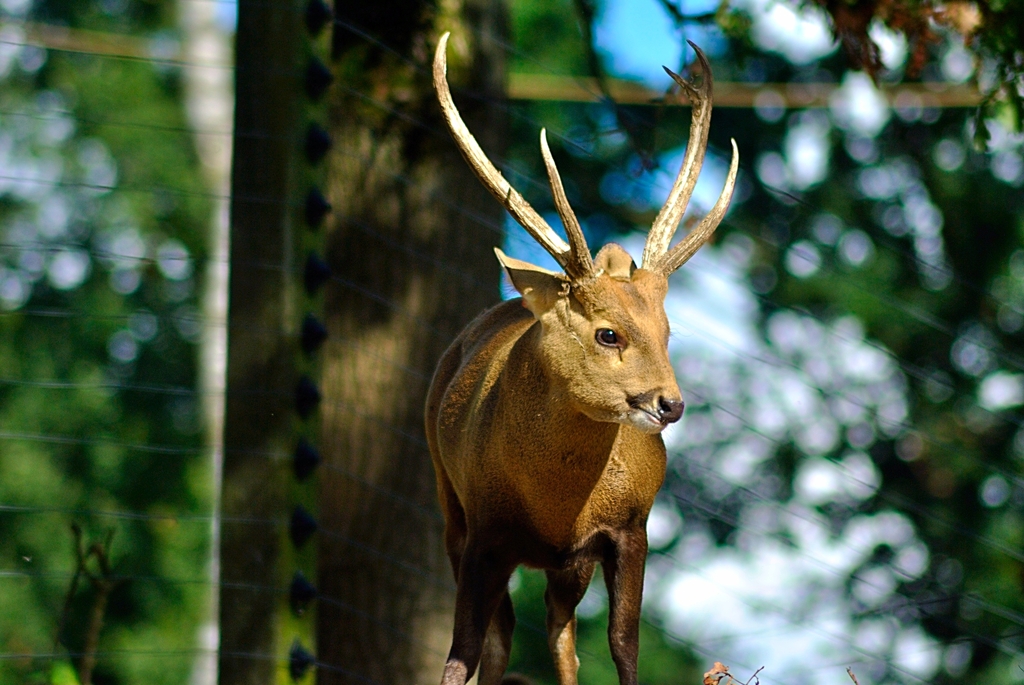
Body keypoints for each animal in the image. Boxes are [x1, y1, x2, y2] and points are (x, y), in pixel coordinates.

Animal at [425, 32, 739, 685]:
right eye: (608, 334)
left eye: (668, 331)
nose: (670, 404)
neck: (556, 504)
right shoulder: (484, 529)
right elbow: (460, 653)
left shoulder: (630, 528)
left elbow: (621, 646)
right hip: (448, 502)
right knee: (504, 636)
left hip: (567, 565)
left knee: (556, 632)